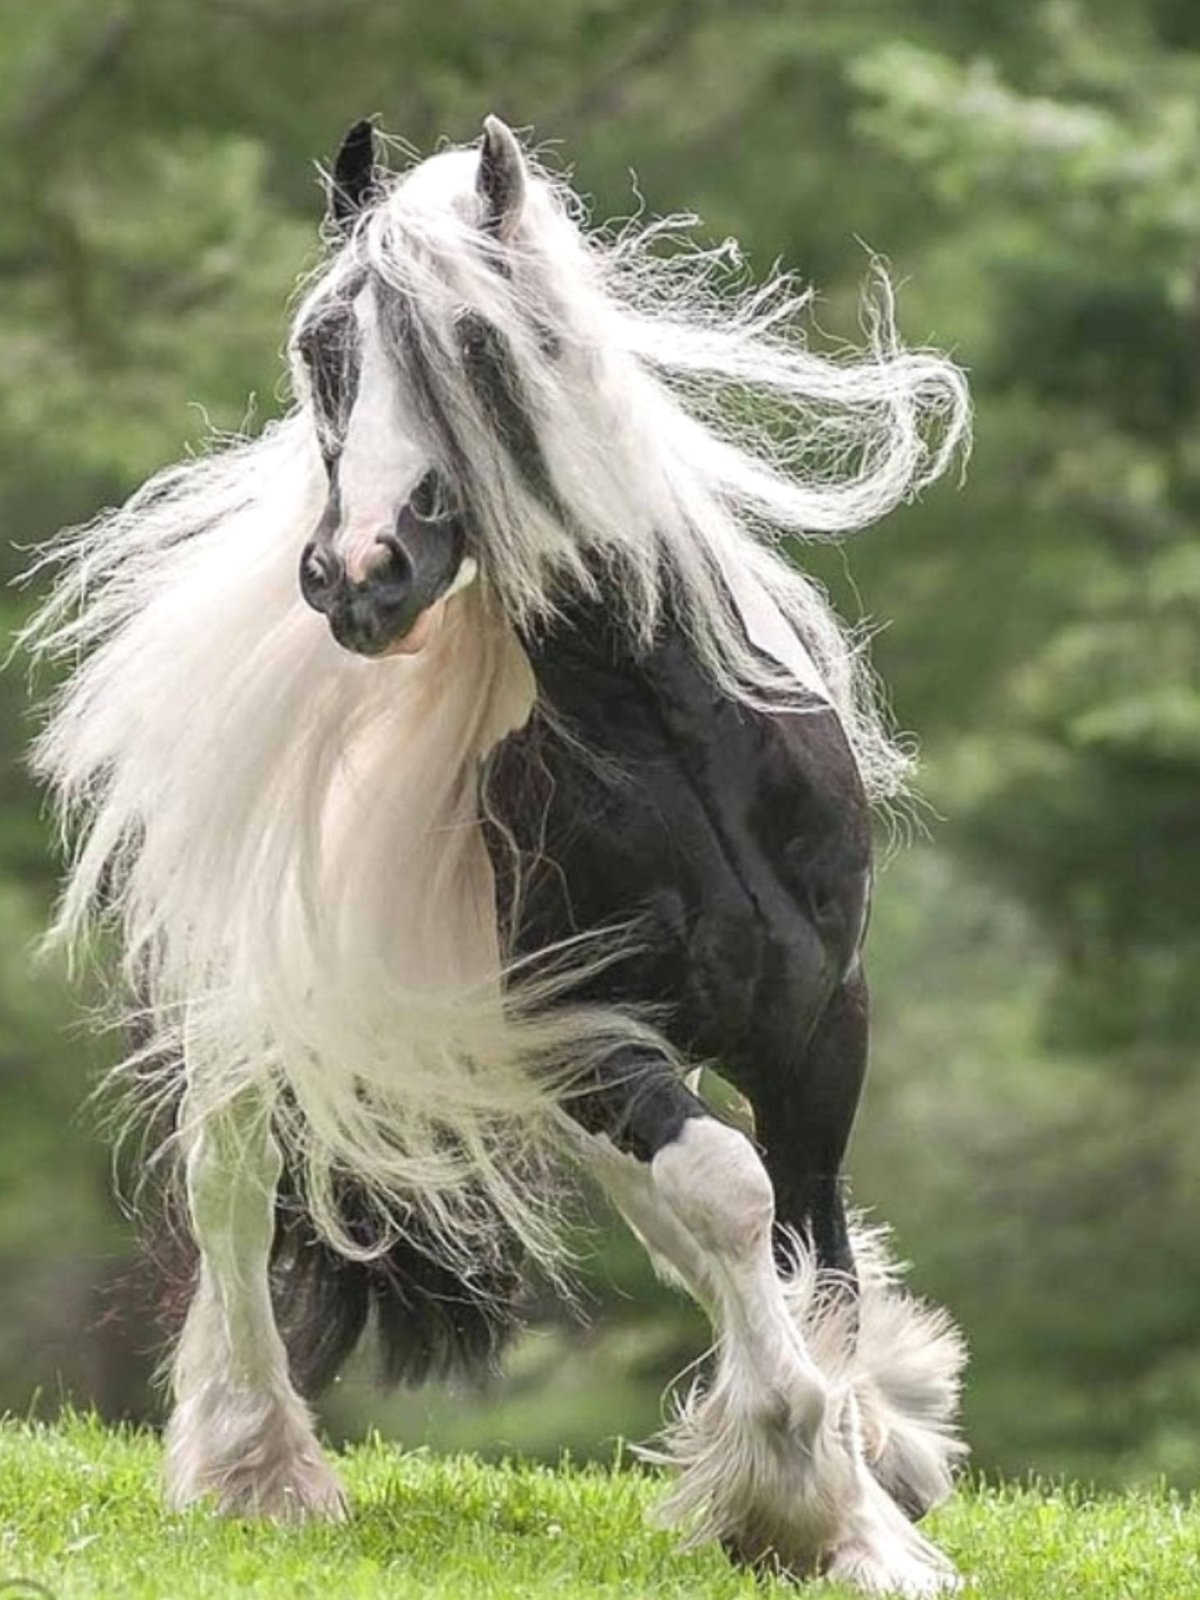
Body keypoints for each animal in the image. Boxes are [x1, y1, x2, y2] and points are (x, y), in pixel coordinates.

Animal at [28, 115, 972, 1593]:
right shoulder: (581, 1033)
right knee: (229, 1197)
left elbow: (804, 1236)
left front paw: (865, 1481)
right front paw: (800, 1496)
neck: (668, 742)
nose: (360, 576)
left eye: (475, 346)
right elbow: (727, 1190)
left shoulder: (820, 1021)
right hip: (255, 1035)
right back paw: (258, 1468)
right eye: (323, 348)